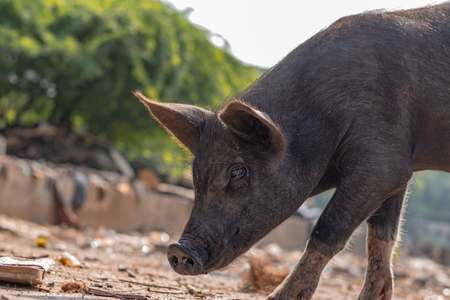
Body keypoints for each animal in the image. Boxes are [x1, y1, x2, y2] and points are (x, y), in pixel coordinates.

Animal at [135, 2, 450, 300]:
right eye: (195, 173)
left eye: (237, 171)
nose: (177, 250)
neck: (322, 116)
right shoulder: (398, 163)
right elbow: (381, 235)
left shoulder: (383, 162)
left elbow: (327, 229)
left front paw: (276, 297)